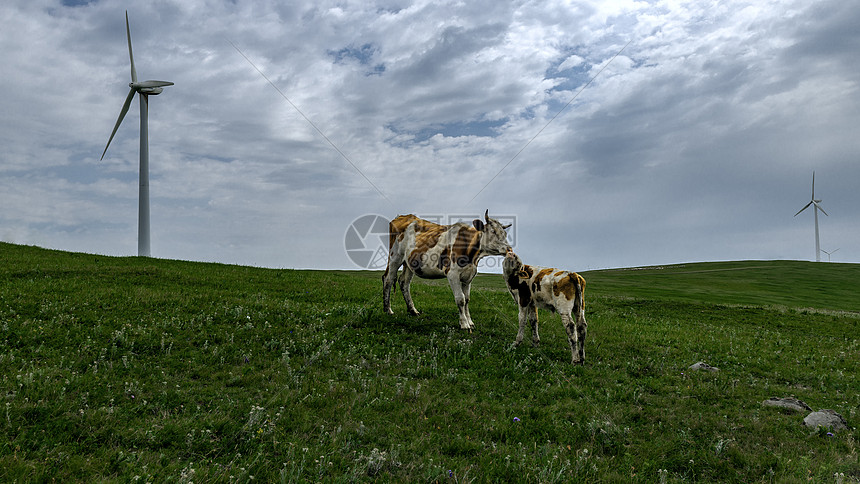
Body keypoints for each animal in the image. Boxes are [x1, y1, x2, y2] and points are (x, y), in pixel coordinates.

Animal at [382, 210, 510, 330]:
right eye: (493, 231)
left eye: (504, 233)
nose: (508, 248)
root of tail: (404, 216)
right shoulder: (452, 274)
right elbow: (460, 299)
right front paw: (464, 324)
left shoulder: (469, 277)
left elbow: (467, 299)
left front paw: (470, 322)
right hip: (395, 256)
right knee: (388, 279)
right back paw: (388, 310)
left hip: (409, 263)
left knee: (404, 282)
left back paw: (413, 310)